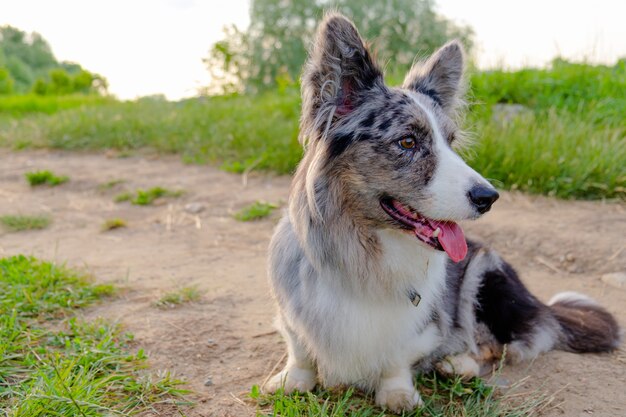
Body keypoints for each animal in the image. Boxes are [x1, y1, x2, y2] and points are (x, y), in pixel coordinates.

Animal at [260, 11, 616, 412]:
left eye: (451, 142)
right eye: (407, 142)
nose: (489, 197)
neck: (364, 250)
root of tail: (541, 306)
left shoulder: (422, 325)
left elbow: (397, 357)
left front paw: (397, 393)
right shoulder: (291, 314)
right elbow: (299, 348)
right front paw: (292, 380)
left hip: (485, 275)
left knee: (493, 346)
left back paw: (456, 363)